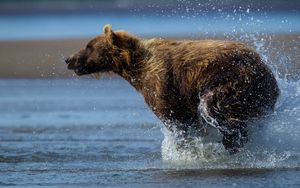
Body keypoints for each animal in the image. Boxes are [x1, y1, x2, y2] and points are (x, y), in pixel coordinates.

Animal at [65, 24, 278, 154]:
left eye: (89, 46)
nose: (68, 59)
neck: (135, 67)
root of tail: (265, 67)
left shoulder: (162, 84)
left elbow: (176, 119)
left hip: (233, 80)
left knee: (215, 106)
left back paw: (230, 141)